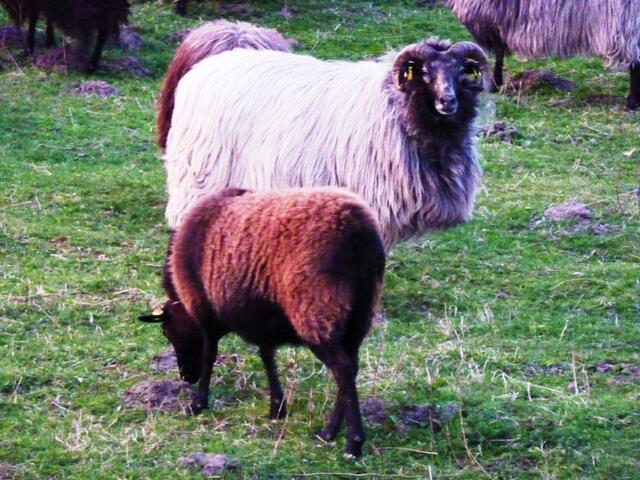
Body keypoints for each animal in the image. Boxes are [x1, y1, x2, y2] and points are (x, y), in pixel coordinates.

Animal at [139, 187, 386, 457]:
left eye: (168, 332)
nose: (185, 377)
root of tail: (358, 230)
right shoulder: (260, 317)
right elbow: (267, 356)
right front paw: (277, 407)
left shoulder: (205, 312)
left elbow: (209, 355)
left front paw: (198, 403)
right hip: (359, 315)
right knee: (351, 367)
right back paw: (329, 432)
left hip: (317, 311)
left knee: (343, 369)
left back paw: (352, 442)